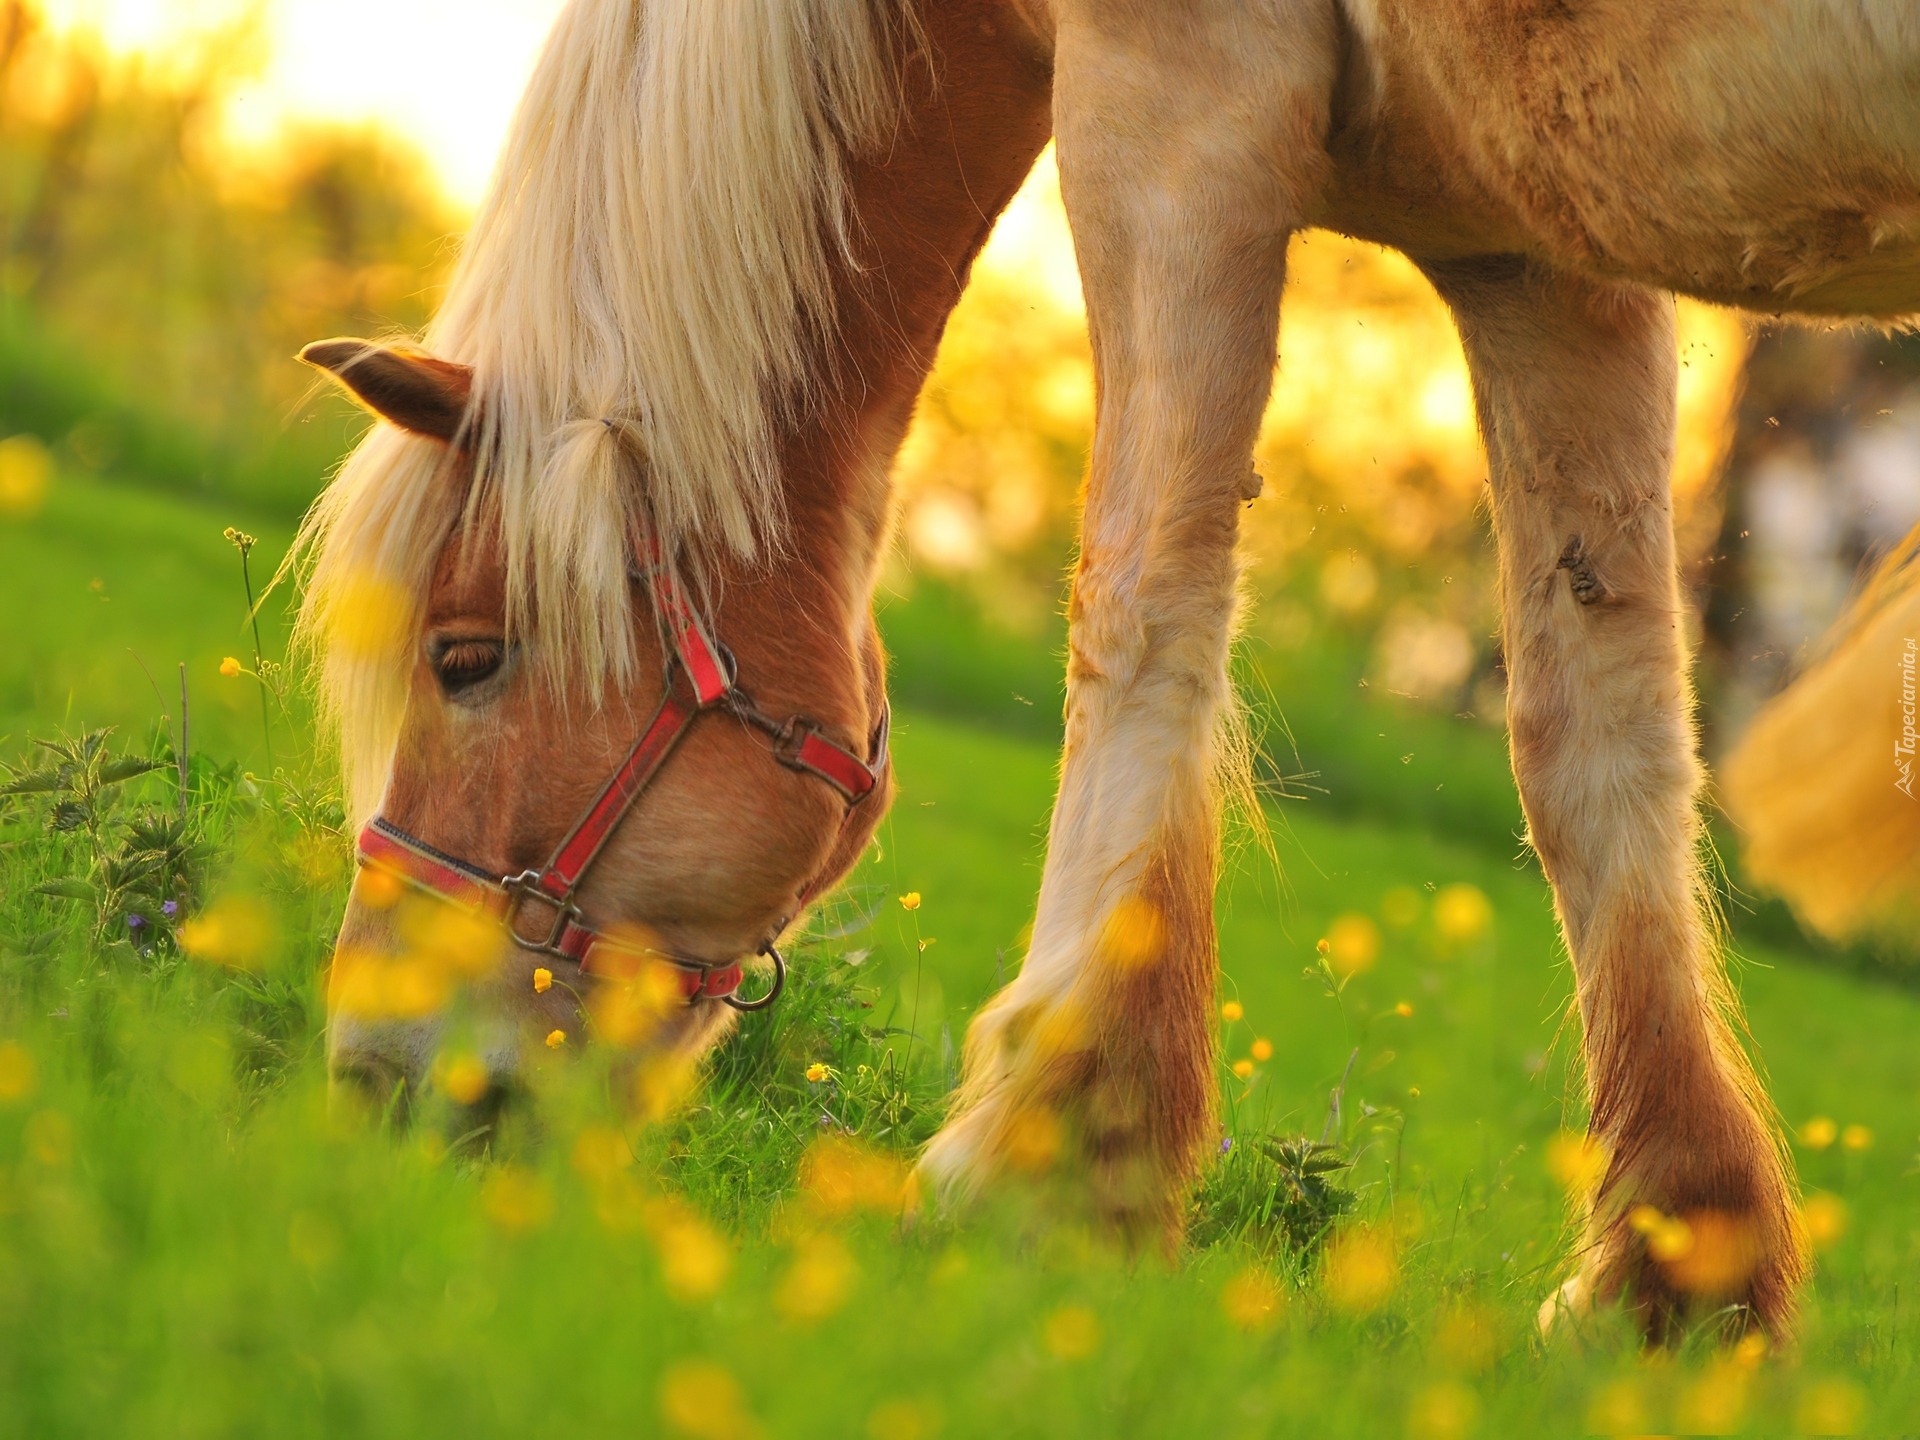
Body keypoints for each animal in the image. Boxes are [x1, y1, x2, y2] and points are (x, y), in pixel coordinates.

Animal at [288, 0, 1920, 1351]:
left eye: (465, 657)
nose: (373, 1075)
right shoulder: (1539, 246)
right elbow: (1597, 732)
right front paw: (1675, 1275)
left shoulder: (1176, 94)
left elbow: (1143, 597)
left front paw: (1056, 1156)